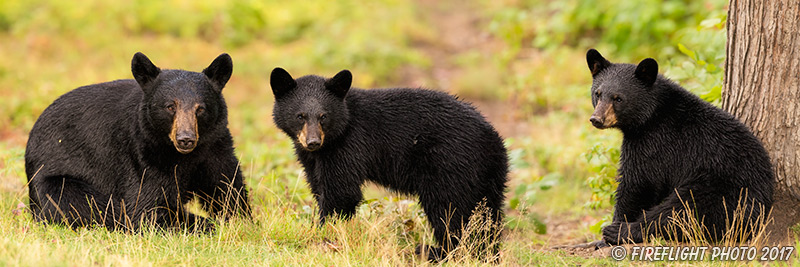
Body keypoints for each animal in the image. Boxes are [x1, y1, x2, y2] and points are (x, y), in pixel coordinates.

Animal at [25, 52, 250, 232]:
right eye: (170, 106)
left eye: (200, 108)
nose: (185, 139)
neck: (185, 156)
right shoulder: (144, 154)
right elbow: (147, 207)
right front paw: (208, 224)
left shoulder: (215, 147)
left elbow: (228, 185)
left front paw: (241, 220)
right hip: (53, 177)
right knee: (83, 203)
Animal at [268, 67, 506, 262]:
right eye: (300, 116)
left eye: (323, 116)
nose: (313, 142)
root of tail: (495, 142)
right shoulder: (312, 158)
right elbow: (318, 185)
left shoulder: (350, 145)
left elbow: (341, 192)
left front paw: (323, 233)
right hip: (486, 178)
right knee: (488, 215)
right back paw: (486, 254)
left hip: (451, 166)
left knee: (450, 210)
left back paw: (437, 251)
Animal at [588, 49, 776, 246]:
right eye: (598, 93)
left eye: (618, 98)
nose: (596, 119)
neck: (652, 114)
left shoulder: (653, 143)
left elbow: (637, 183)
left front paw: (608, 234)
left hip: (719, 189)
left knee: (681, 210)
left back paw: (620, 231)